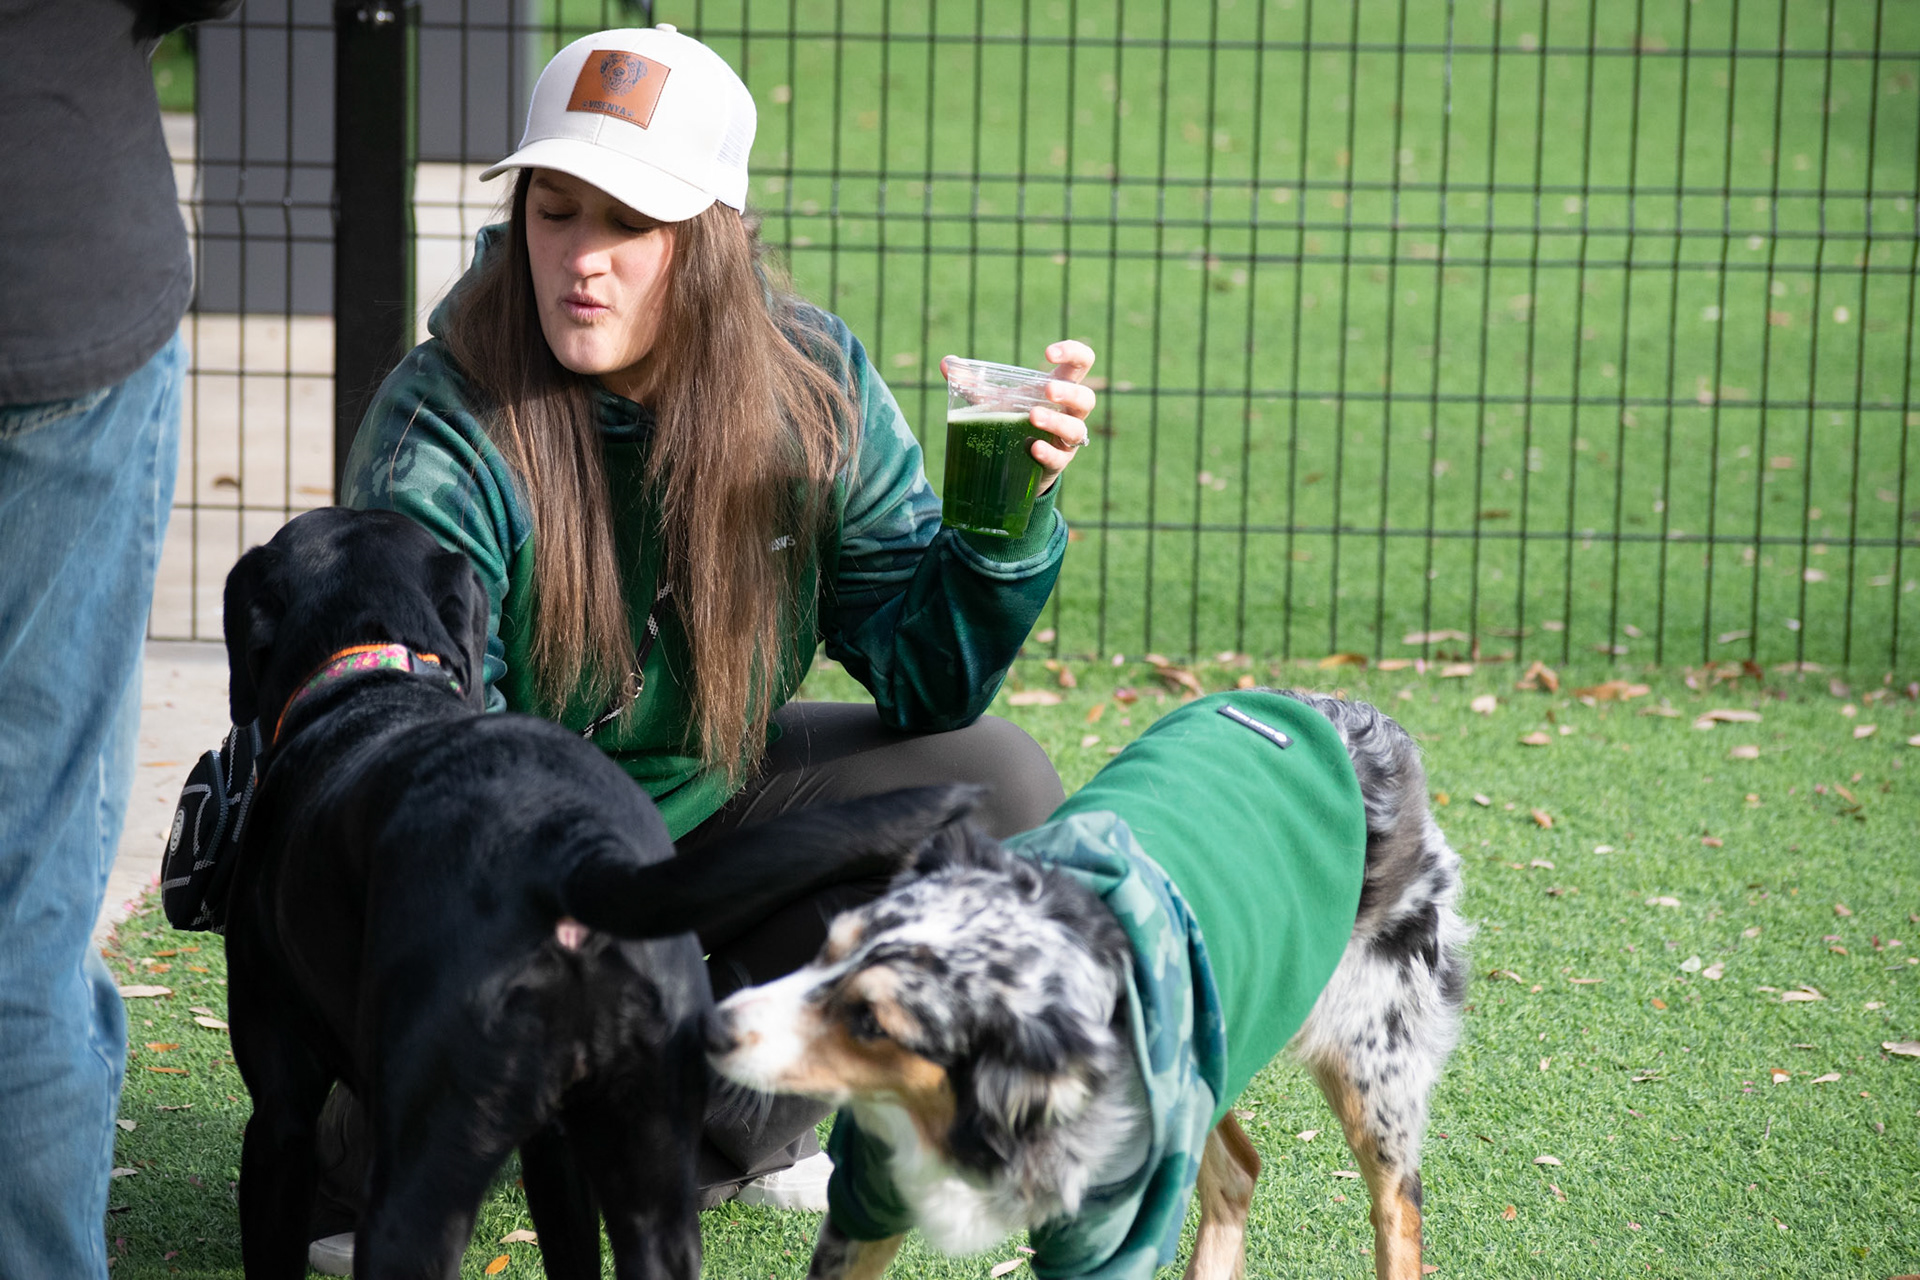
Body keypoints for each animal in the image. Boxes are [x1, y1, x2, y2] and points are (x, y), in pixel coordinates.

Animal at [220, 506, 976, 1279]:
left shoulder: (280, 1118)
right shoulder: (556, 1148)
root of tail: (571, 852)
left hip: (417, 1182)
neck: (374, 681)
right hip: (651, 1170)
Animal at [708, 688, 1470, 1280]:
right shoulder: (867, 1197)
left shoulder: (1110, 1233)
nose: (710, 1027)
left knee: (1398, 1205)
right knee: (1239, 1172)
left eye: (872, 1020)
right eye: (824, 950)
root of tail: (1353, 715)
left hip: (1373, 1067)